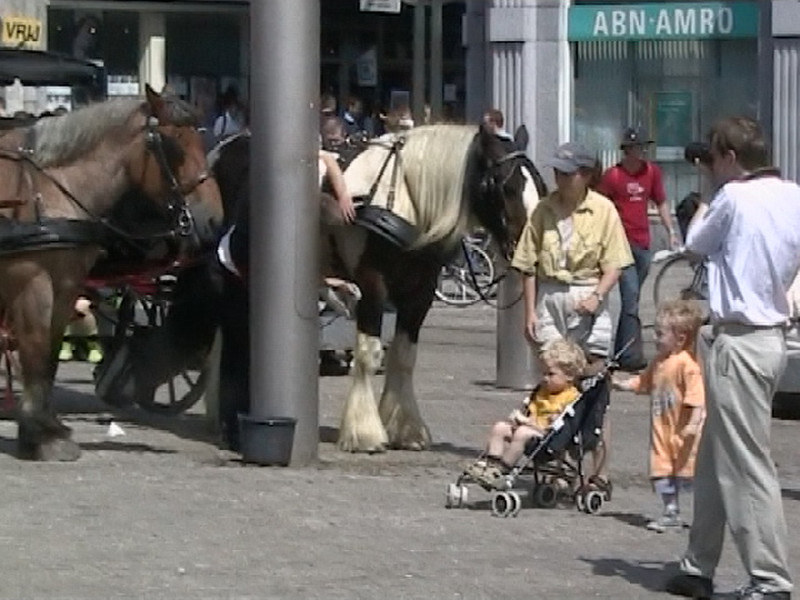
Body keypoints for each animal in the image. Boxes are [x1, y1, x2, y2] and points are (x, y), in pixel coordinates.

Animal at [0, 85, 222, 460]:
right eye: (174, 146)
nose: (214, 219)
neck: (50, 188)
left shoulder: (66, 285)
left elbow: (49, 355)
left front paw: (47, 428)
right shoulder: (32, 283)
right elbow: (35, 349)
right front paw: (40, 435)